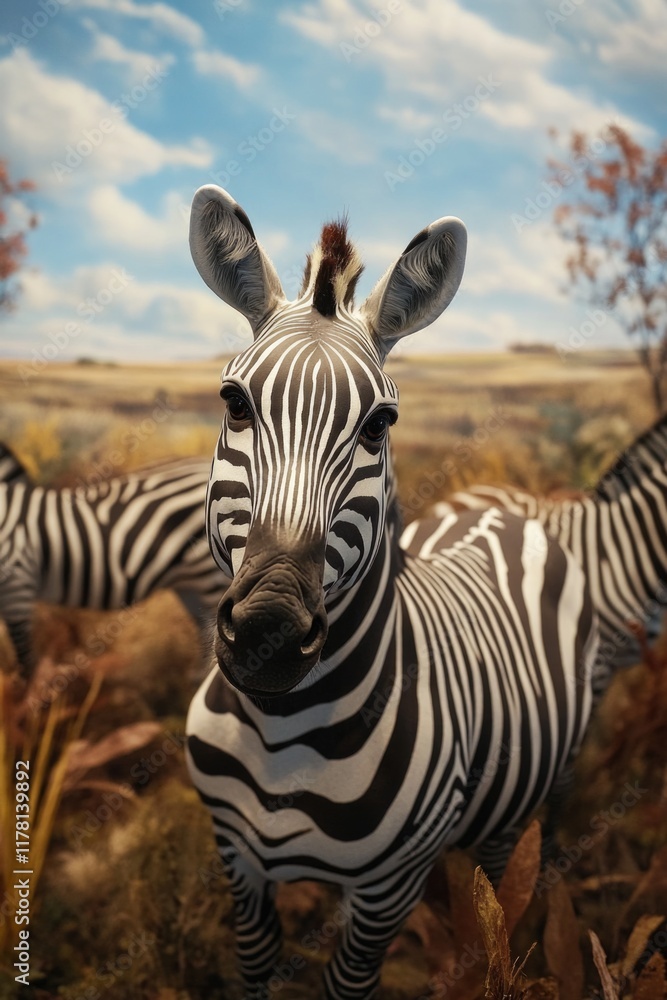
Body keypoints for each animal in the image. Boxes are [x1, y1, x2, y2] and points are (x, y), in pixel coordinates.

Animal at [185, 185, 599, 1000]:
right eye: (234, 402)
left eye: (380, 423)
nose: (270, 631)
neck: (279, 733)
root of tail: (504, 507)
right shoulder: (236, 862)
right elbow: (255, 964)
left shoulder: (386, 892)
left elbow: (349, 982)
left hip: (529, 790)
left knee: (505, 868)